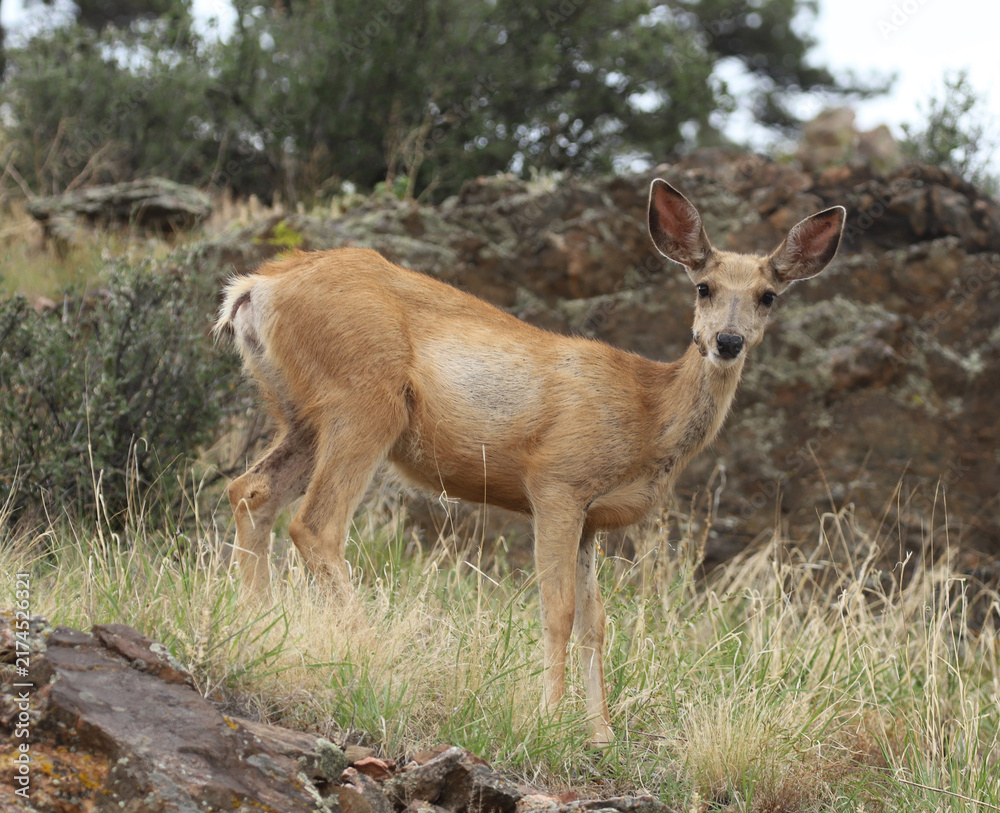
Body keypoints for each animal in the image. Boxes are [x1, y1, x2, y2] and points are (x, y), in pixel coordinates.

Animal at [214, 179, 845, 746]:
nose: (728, 341)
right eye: (704, 286)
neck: (649, 413)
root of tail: (256, 288)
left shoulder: (593, 519)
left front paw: (600, 733)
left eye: (768, 295)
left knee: (250, 491)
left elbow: (597, 623)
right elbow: (557, 610)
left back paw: (259, 627)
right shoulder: (558, 482)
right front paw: (547, 717)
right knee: (315, 524)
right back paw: (370, 656)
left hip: (300, 413)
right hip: (363, 399)